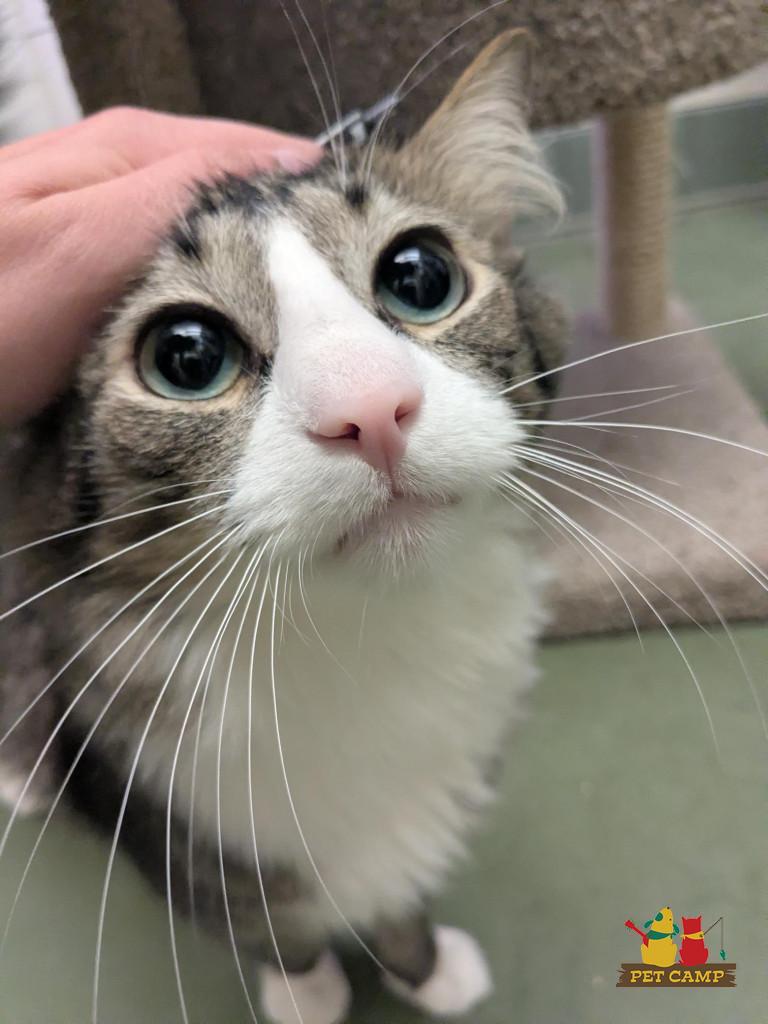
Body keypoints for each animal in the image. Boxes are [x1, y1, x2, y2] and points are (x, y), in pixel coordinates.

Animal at [0, 30, 566, 1024]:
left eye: (420, 277)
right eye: (186, 356)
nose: (372, 410)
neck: (363, 644)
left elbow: (403, 893)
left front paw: (424, 964)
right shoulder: (166, 814)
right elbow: (264, 916)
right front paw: (306, 987)